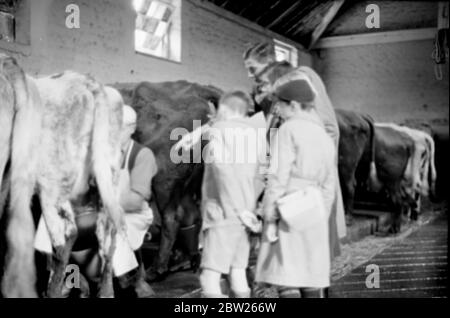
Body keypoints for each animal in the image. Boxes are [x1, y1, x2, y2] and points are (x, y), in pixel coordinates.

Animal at [115, 80, 222, 280]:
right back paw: (189, 260)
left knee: (172, 219)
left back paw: (157, 269)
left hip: (164, 181)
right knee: (191, 215)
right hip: (189, 183)